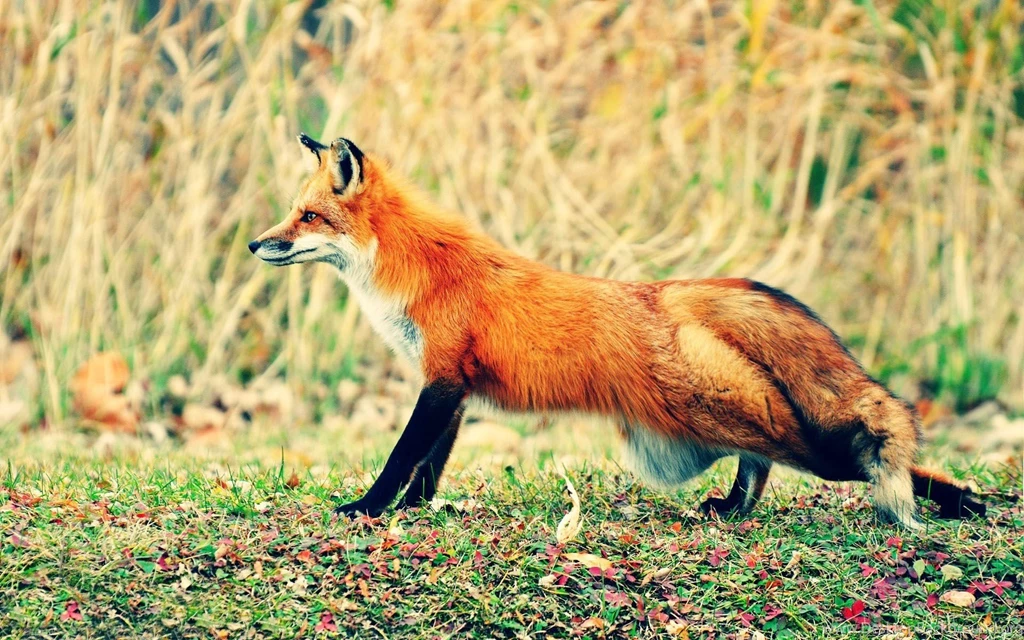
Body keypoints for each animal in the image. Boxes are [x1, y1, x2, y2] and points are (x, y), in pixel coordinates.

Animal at [248, 134, 986, 529]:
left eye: (308, 217)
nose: (256, 243)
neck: (413, 273)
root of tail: (670, 294)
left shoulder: (442, 381)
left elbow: (402, 457)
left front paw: (367, 509)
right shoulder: (454, 388)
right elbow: (428, 468)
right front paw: (416, 512)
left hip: (712, 416)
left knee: (842, 454)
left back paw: (962, 500)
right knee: (767, 458)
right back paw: (737, 508)